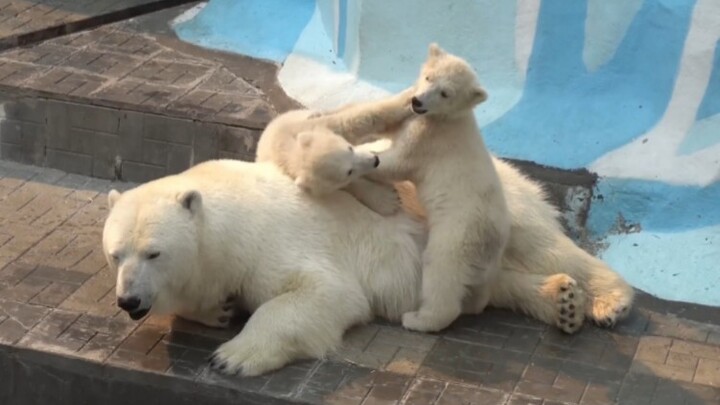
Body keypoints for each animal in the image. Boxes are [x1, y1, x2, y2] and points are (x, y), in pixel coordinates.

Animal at [255, 109, 398, 215]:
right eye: (349, 172)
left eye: (350, 148)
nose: (375, 161)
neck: (283, 151)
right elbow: (351, 184)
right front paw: (389, 201)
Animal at [344, 43, 512, 333]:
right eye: (428, 77)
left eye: (445, 92)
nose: (417, 101)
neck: (449, 117)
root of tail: (490, 241)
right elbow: (392, 127)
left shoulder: (431, 139)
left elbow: (396, 162)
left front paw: (367, 162)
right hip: (488, 259)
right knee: (478, 285)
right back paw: (472, 305)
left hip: (456, 235)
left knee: (441, 273)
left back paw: (418, 319)